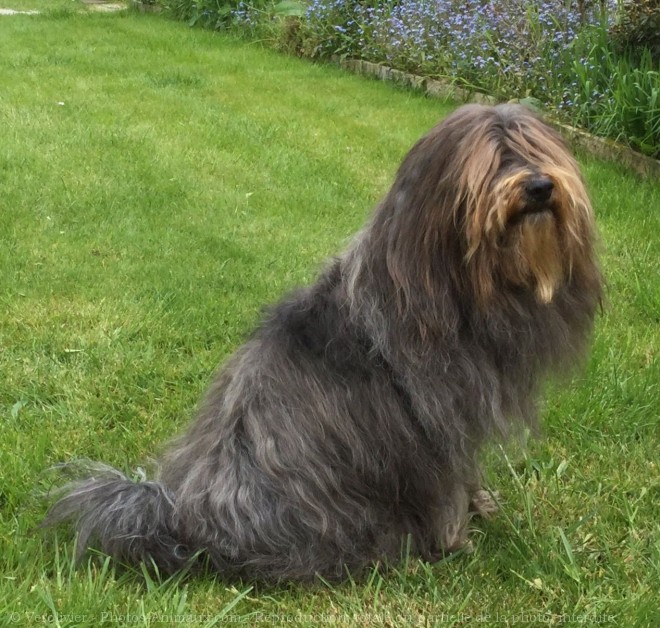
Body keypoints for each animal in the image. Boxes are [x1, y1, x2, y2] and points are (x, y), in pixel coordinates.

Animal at [41, 103, 600, 580]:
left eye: (535, 147)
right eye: (492, 159)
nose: (539, 186)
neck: (450, 279)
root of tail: (185, 521)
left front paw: (481, 506)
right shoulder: (432, 424)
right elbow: (449, 488)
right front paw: (457, 539)